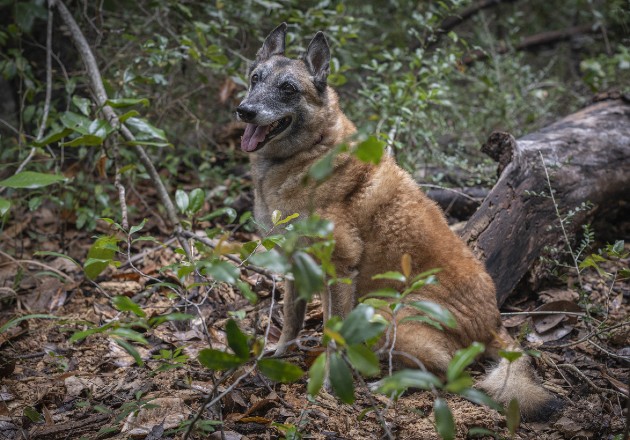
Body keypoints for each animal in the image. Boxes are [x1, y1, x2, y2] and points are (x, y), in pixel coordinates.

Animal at [237, 23, 556, 420]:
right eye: (255, 79)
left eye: (288, 89)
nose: (244, 111)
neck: (309, 153)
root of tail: (494, 323)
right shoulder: (294, 263)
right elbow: (291, 318)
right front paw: (281, 353)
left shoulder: (339, 270)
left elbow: (332, 332)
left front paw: (326, 381)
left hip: (379, 310)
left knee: (447, 373)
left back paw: (390, 385)